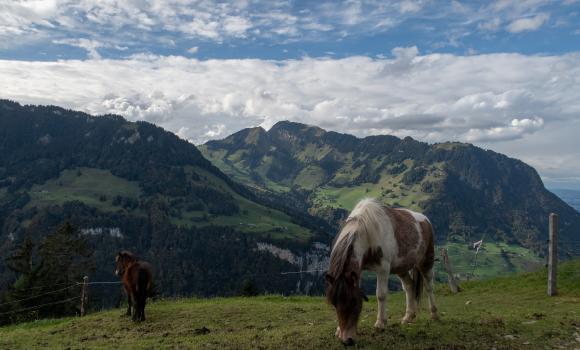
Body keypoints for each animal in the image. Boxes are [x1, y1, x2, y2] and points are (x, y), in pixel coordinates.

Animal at [324, 198, 438, 346]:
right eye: (334, 303)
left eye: (354, 302)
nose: (347, 341)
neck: (367, 232)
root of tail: (425, 219)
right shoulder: (358, 272)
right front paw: (338, 330)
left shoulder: (383, 269)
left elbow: (381, 295)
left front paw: (380, 323)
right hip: (401, 268)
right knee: (409, 286)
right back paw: (408, 316)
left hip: (426, 261)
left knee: (429, 286)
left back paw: (434, 314)